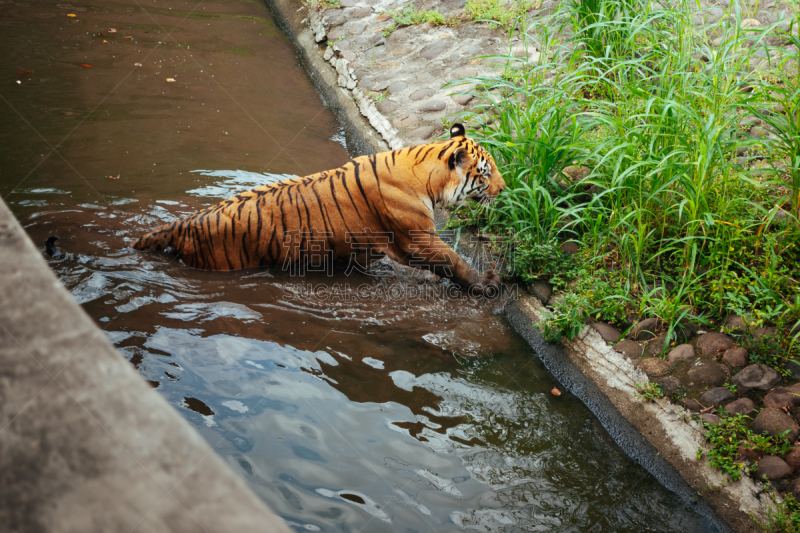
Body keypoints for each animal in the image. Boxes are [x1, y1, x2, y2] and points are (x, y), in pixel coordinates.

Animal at [131, 122, 506, 296]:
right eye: (486, 172)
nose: (504, 190)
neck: (427, 174)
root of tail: (184, 222)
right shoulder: (417, 239)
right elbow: (453, 260)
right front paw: (486, 283)